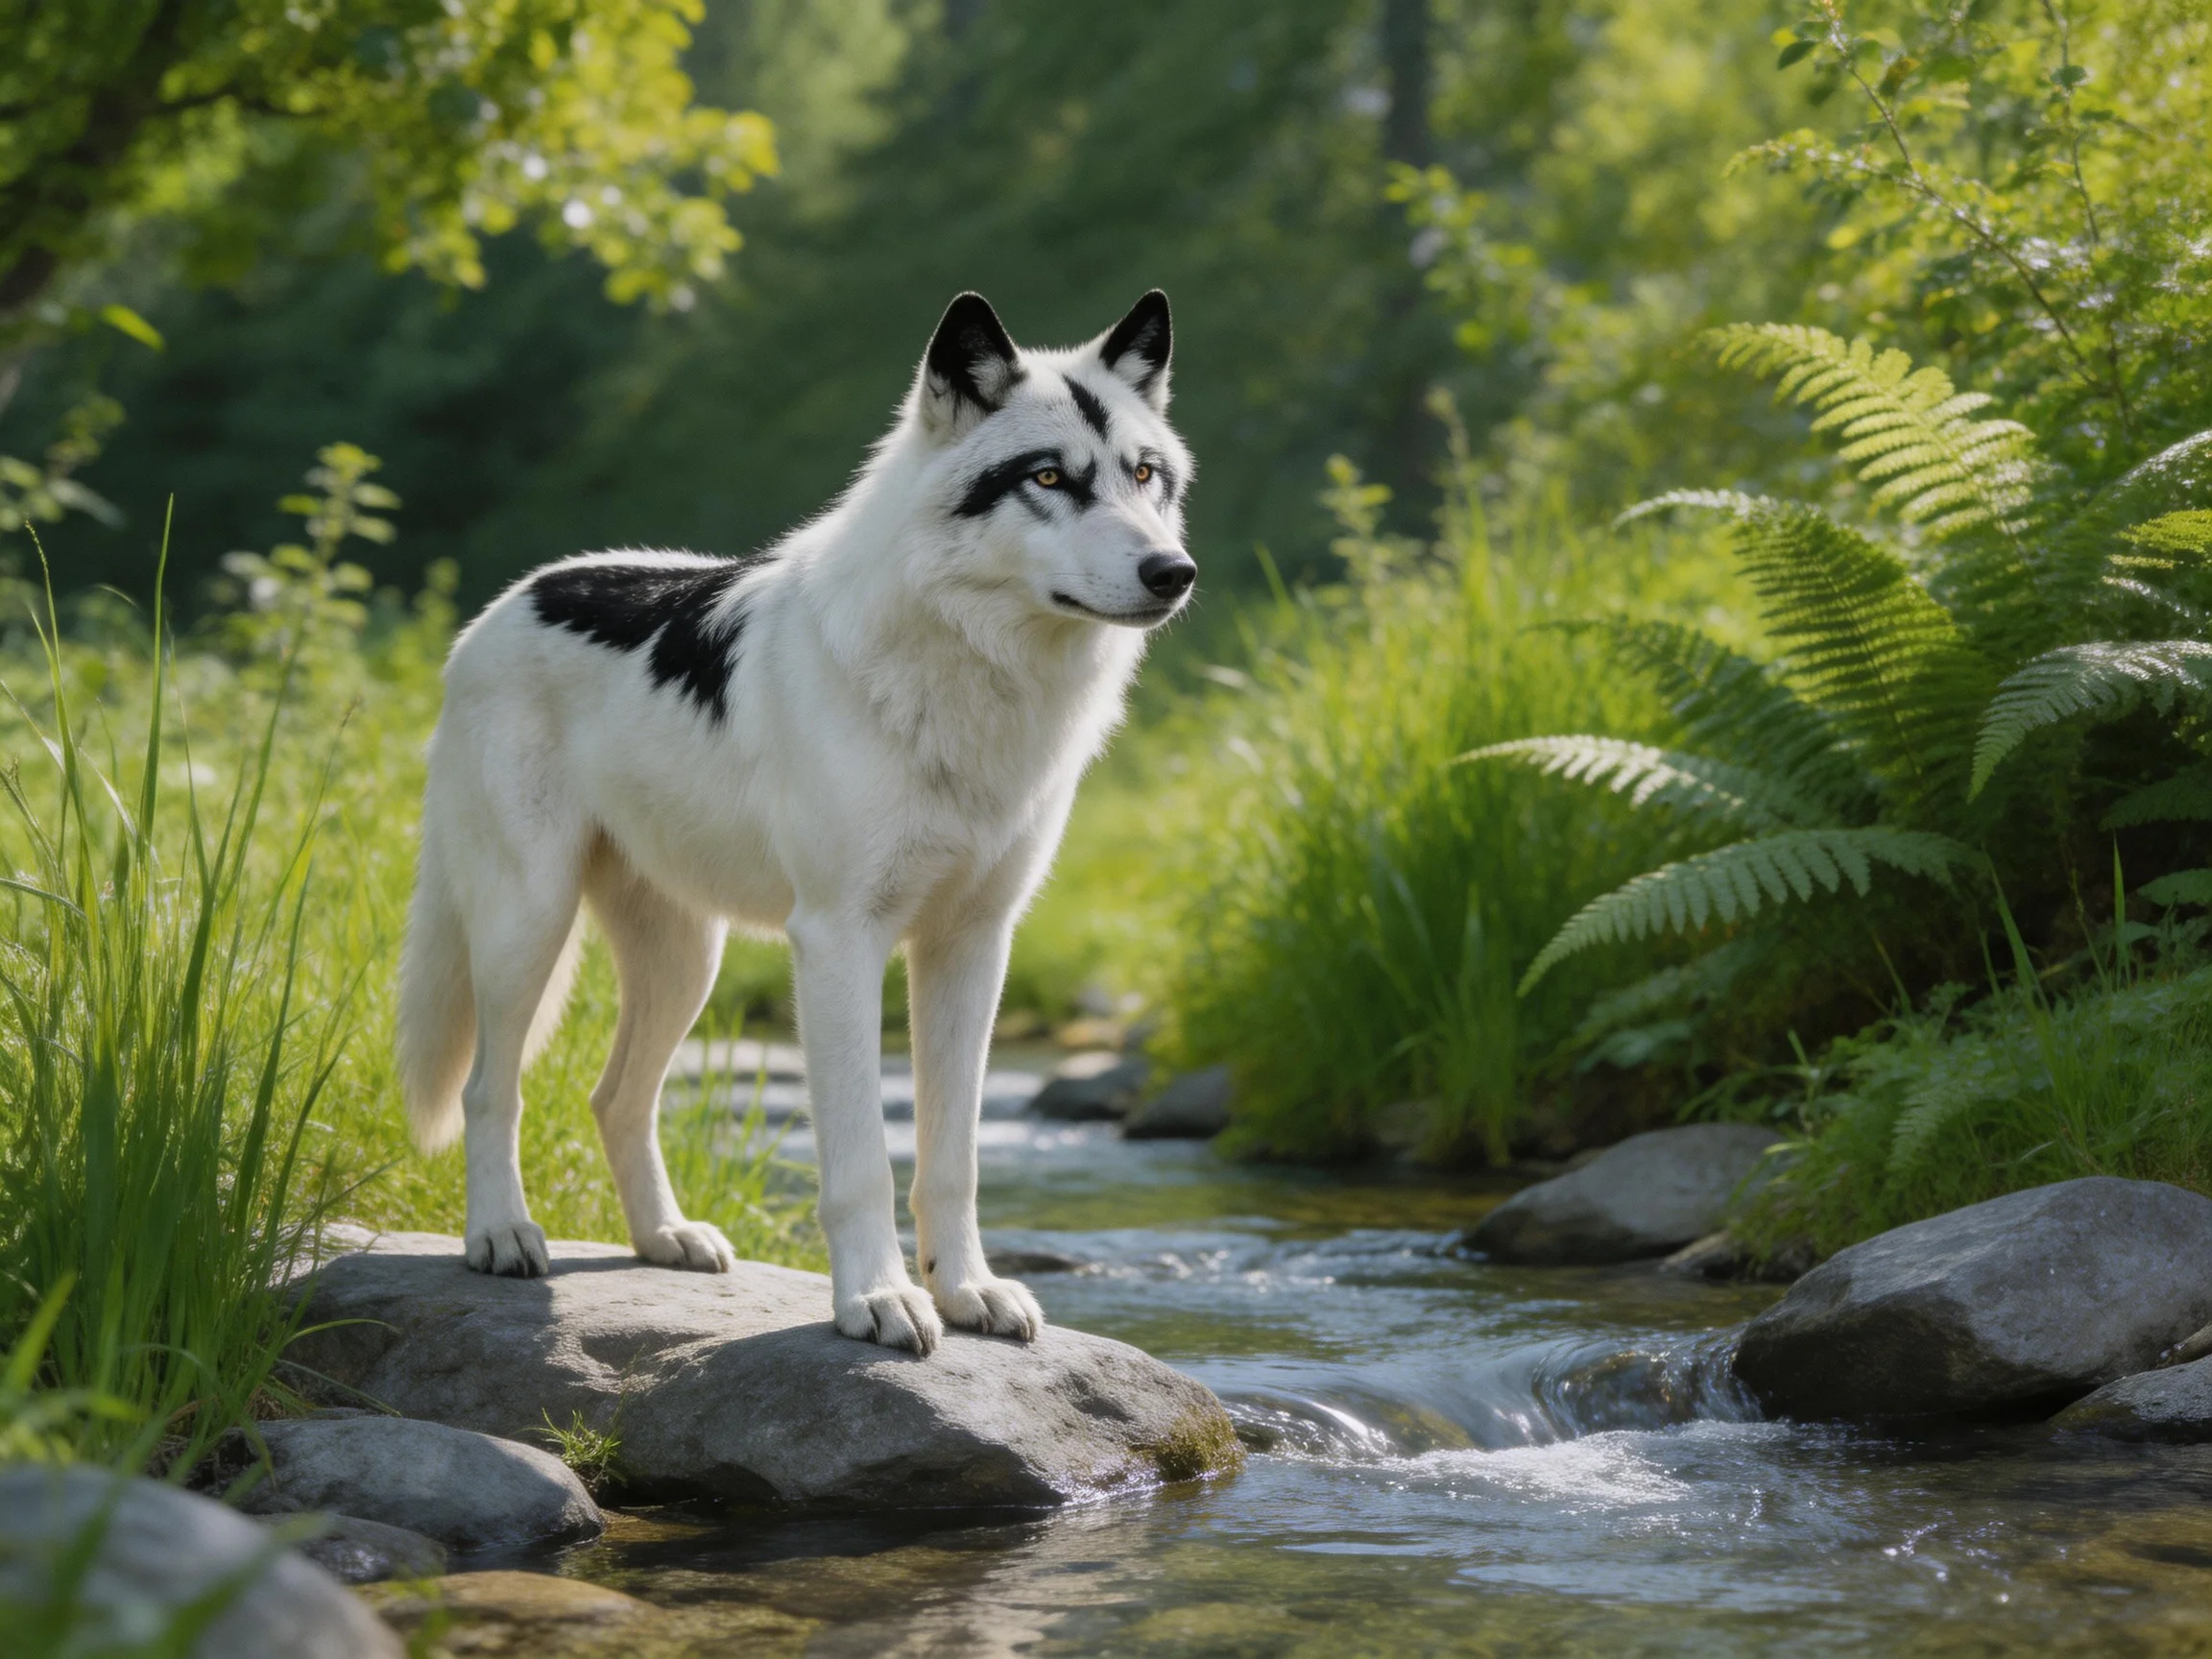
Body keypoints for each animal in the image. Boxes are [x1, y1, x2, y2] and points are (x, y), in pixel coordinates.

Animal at [395, 290, 1194, 1355]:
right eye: (1050, 477)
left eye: (1144, 475)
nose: (1174, 571)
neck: (969, 677)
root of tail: (505, 603)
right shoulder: (839, 942)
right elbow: (861, 1161)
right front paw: (879, 1302)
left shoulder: (973, 947)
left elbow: (953, 1157)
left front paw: (968, 1292)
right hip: (529, 928)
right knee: (492, 1088)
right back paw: (501, 1236)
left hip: (688, 964)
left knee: (616, 1097)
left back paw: (665, 1238)